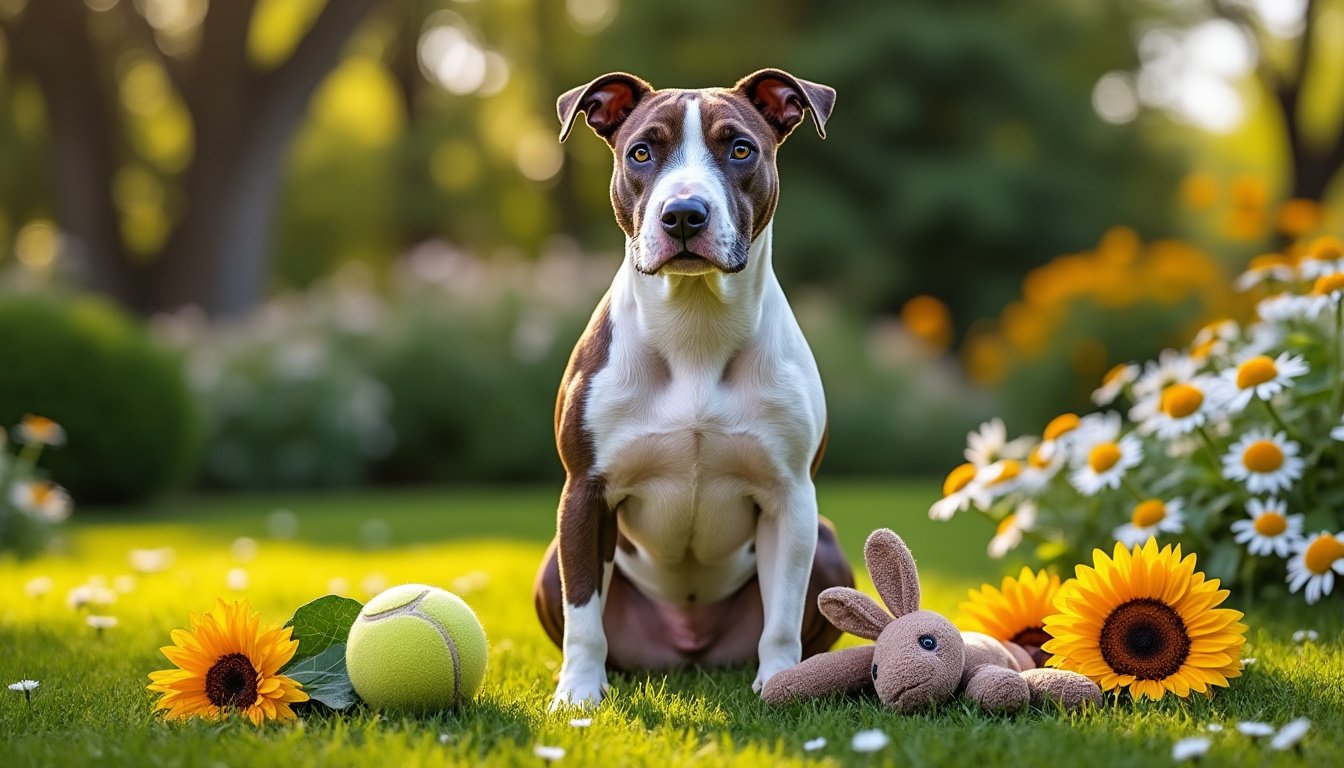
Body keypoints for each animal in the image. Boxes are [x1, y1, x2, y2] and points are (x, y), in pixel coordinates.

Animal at [532, 67, 849, 710]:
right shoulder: (585, 493)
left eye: (741, 149)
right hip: (550, 563)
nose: (683, 214)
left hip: (828, 546)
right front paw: (577, 694)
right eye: (641, 152)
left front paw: (779, 681)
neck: (695, 326)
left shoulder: (791, 498)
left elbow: (782, 615)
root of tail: (689, 653)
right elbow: (584, 614)